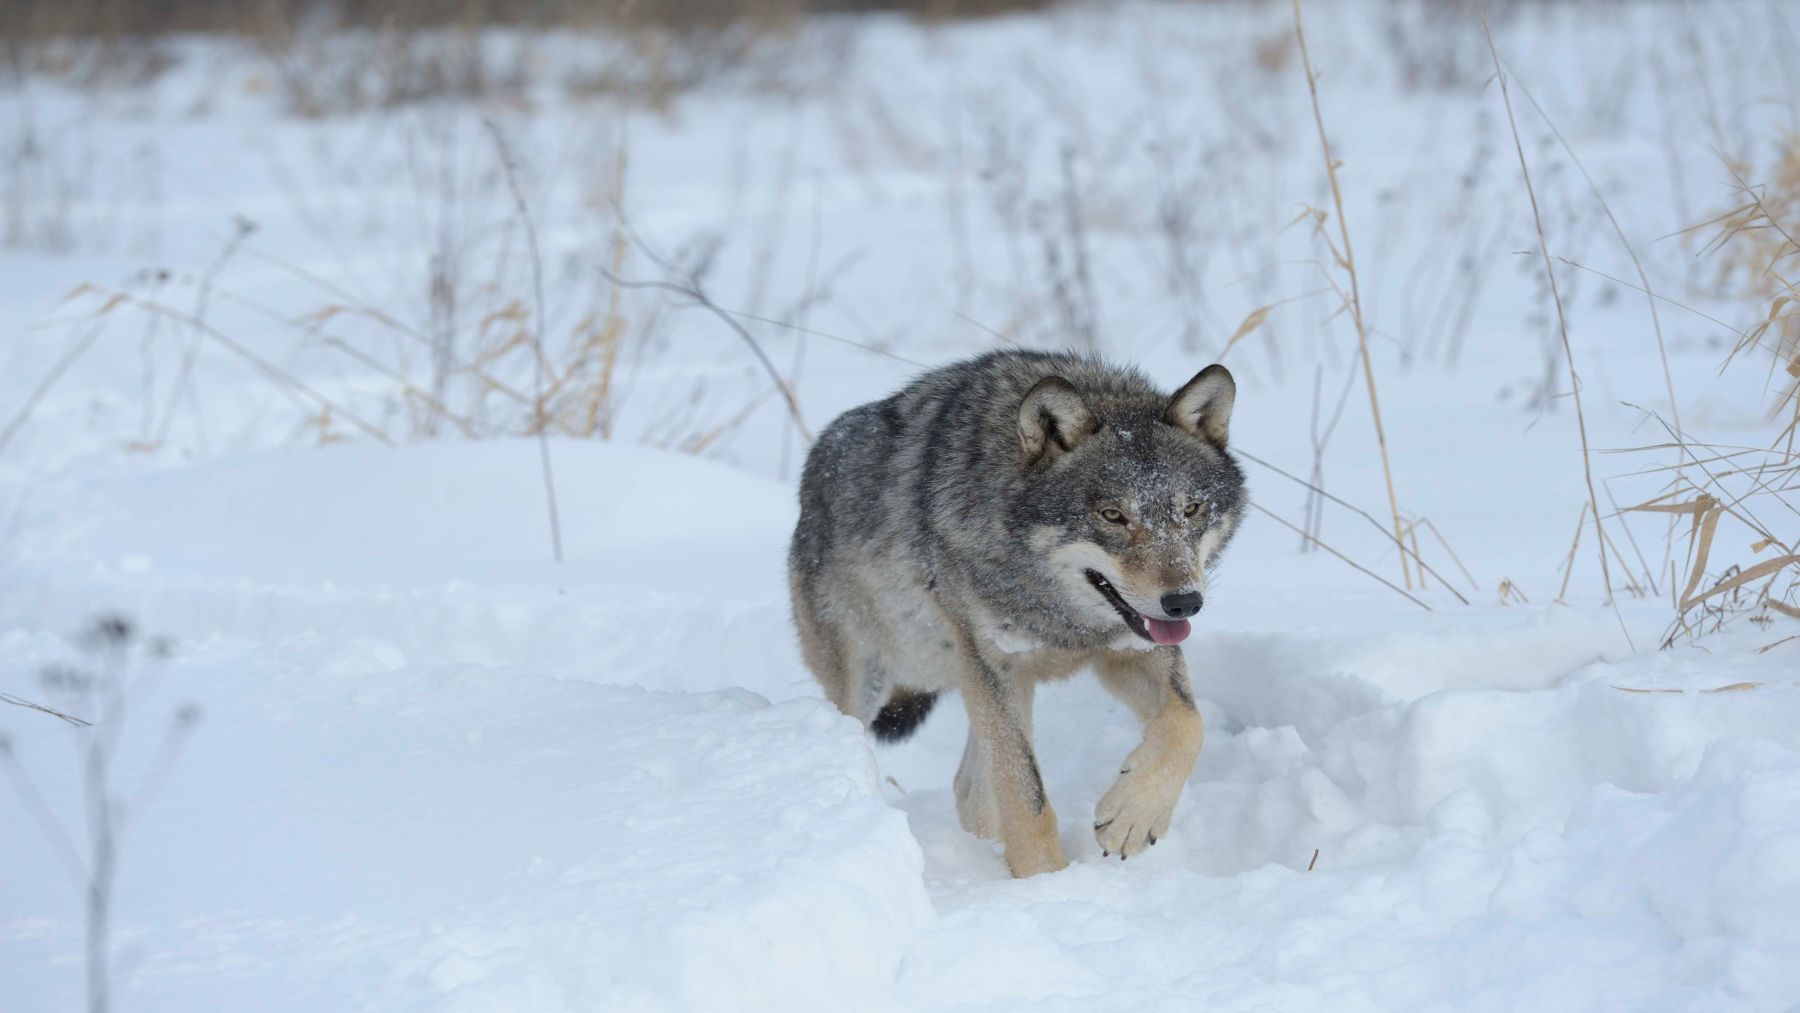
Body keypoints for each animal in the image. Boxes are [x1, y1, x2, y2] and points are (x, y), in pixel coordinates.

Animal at [789, 350, 1245, 877]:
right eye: (1113, 515)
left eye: (1191, 510)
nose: (1184, 602)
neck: (1063, 619)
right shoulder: (995, 666)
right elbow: (1025, 798)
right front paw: (1047, 882)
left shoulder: (1131, 649)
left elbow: (1189, 724)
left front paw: (1132, 816)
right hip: (870, 686)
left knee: (968, 789)